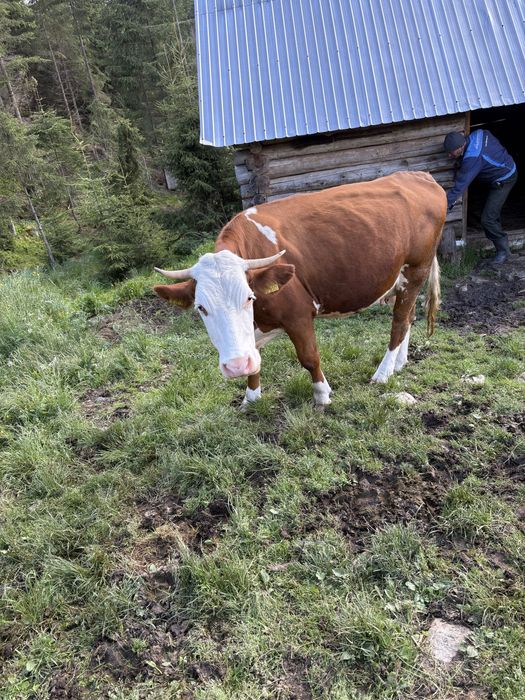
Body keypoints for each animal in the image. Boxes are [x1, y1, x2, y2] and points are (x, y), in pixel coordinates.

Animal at [154, 171, 446, 407]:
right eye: (201, 308)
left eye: (248, 298)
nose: (235, 366)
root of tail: (419, 175)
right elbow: (255, 360)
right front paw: (251, 399)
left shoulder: (298, 314)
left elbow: (309, 357)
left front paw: (322, 395)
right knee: (409, 318)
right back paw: (400, 363)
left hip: (415, 271)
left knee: (399, 322)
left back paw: (383, 373)